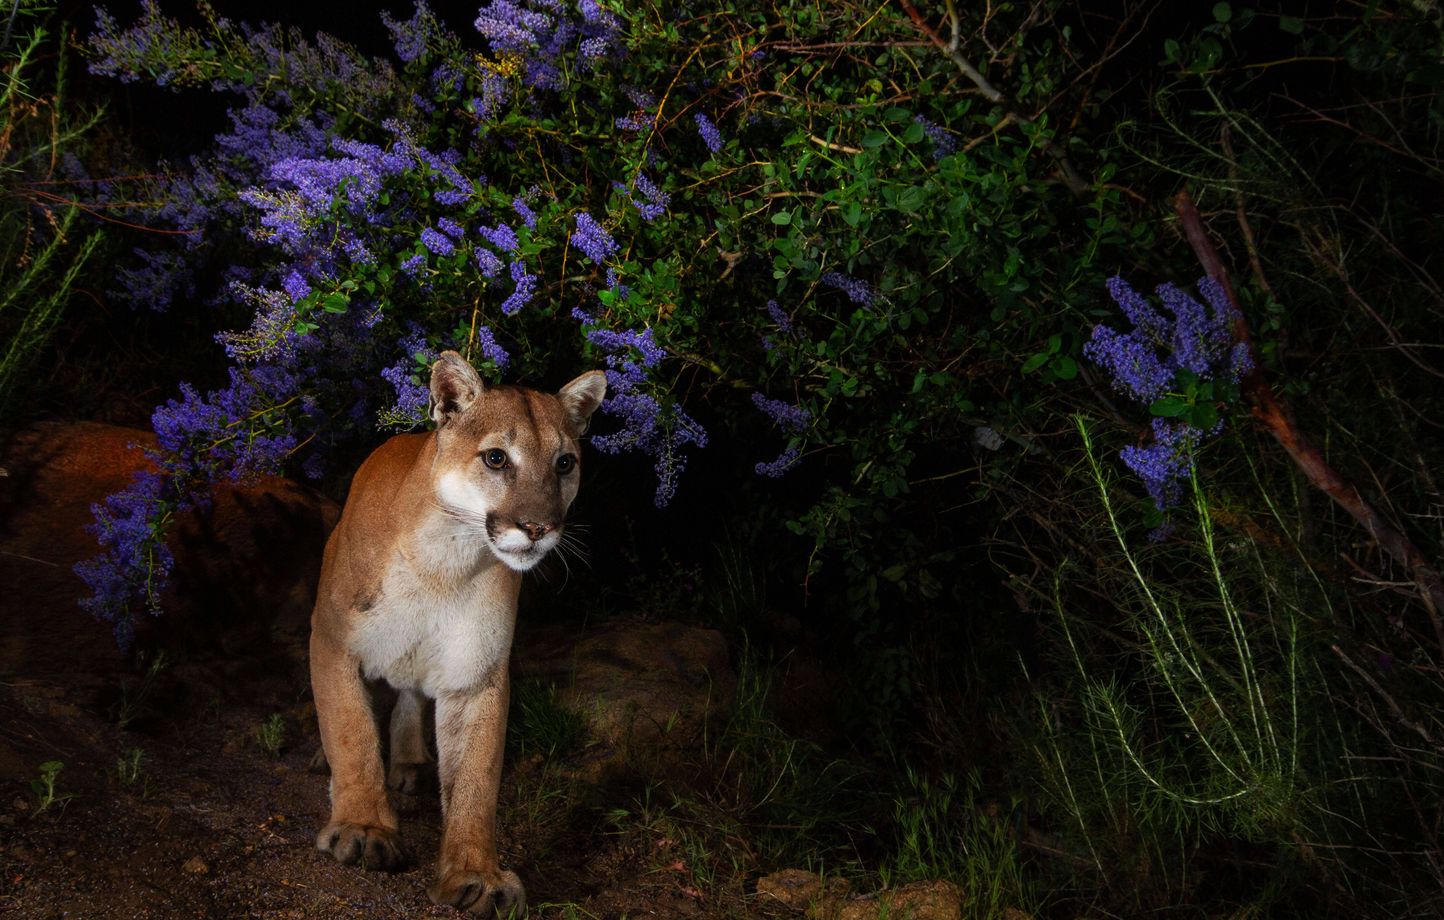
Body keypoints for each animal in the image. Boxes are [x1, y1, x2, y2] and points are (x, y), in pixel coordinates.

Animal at [313, 349, 606, 912]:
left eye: (564, 463)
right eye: (496, 459)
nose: (538, 527)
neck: (443, 562)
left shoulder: (476, 672)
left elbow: (476, 777)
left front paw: (475, 874)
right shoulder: (334, 641)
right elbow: (350, 730)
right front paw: (363, 827)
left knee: (408, 695)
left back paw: (411, 762)